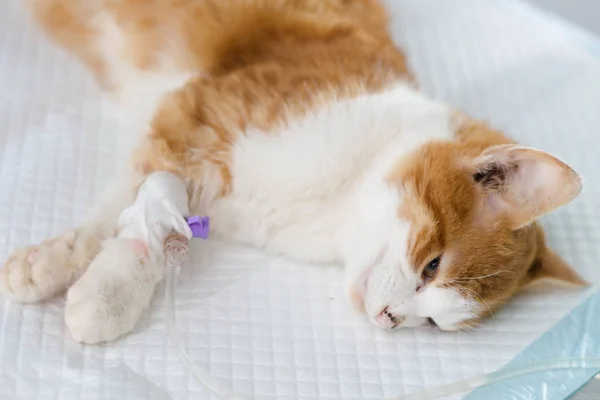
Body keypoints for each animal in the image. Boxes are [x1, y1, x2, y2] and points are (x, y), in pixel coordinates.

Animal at [0, 0, 584, 344]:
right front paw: (86, 279)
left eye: (435, 322)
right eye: (431, 267)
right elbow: (132, 207)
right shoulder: (195, 116)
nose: (389, 320)